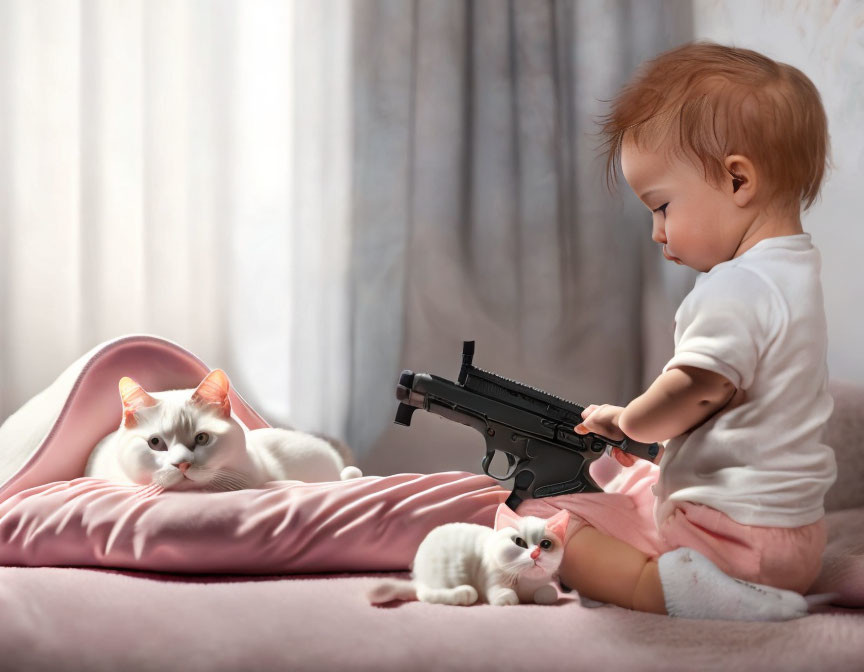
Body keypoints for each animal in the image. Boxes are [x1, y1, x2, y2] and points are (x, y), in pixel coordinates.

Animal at [368, 504, 572, 608]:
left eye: (545, 544)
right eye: (519, 542)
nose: (535, 554)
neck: (524, 581)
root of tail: (419, 577)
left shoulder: (541, 585)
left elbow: (549, 592)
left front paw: (541, 595)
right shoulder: (491, 579)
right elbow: (504, 595)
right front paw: (509, 597)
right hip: (452, 573)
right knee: (426, 594)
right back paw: (463, 594)